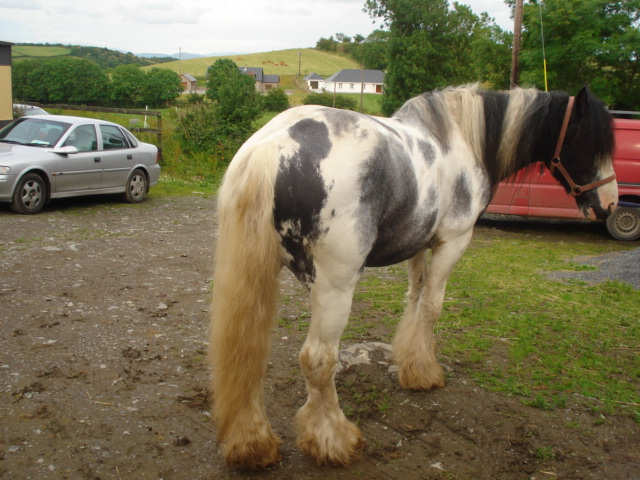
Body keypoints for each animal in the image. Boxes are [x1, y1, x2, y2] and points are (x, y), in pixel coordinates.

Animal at [208, 85, 616, 468]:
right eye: (589, 140)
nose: (610, 204)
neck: (462, 140)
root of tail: (270, 146)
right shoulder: (453, 242)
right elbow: (432, 306)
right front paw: (424, 372)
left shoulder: (418, 244)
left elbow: (415, 299)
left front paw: (408, 362)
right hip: (334, 288)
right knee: (318, 359)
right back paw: (333, 439)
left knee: (245, 353)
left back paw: (252, 444)